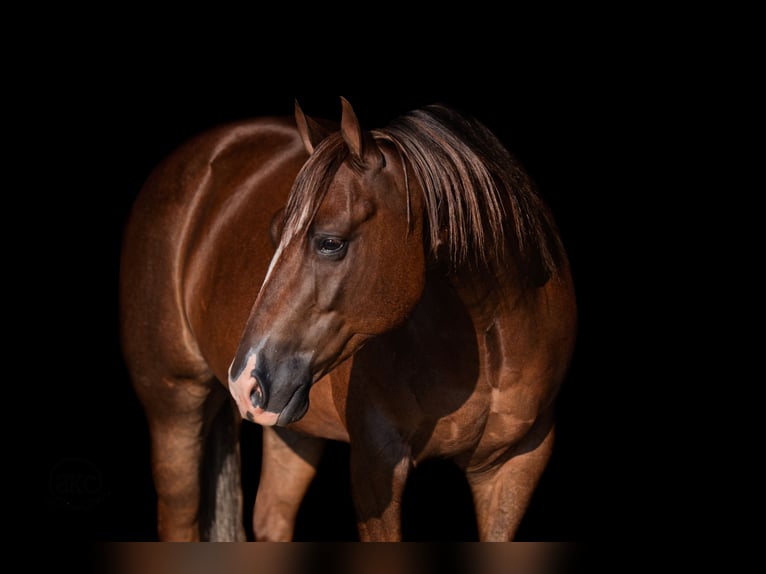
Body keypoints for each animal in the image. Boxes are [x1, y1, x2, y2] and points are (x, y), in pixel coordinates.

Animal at [119, 97, 577, 541]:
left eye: (330, 243)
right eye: (274, 234)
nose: (245, 381)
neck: (490, 339)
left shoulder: (514, 467)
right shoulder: (377, 464)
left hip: (292, 429)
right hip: (175, 407)